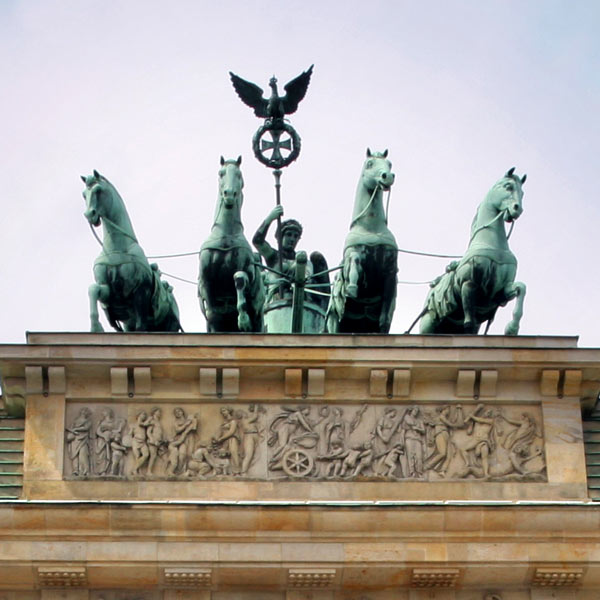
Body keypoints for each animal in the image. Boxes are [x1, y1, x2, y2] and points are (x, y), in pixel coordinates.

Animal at [81, 170, 180, 332]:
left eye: (98, 190)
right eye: (84, 194)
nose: (90, 214)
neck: (117, 247)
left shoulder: (140, 293)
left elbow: (141, 327)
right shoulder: (111, 293)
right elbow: (93, 289)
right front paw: (96, 327)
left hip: (170, 325)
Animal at [198, 155, 264, 332]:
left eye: (239, 175)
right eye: (221, 174)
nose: (229, 194)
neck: (225, 237)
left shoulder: (246, 270)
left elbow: (239, 278)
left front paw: (243, 320)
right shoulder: (205, 280)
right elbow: (212, 314)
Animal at [326, 146, 396, 332]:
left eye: (389, 164)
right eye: (369, 163)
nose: (387, 176)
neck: (371, 227)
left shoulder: (391, 271)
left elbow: (385, 315)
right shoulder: (352, 255)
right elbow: (355, 260)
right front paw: (351, 287)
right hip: (334, 319)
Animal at [420, 169, 528, 336]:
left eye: (522, 193)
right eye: (508, 186)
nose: (517, 209)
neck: (491, 244)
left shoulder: (500, 291)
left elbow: (521, 288)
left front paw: (512, 328)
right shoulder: (469, 284)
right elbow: (469, 325)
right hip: (428, 325)